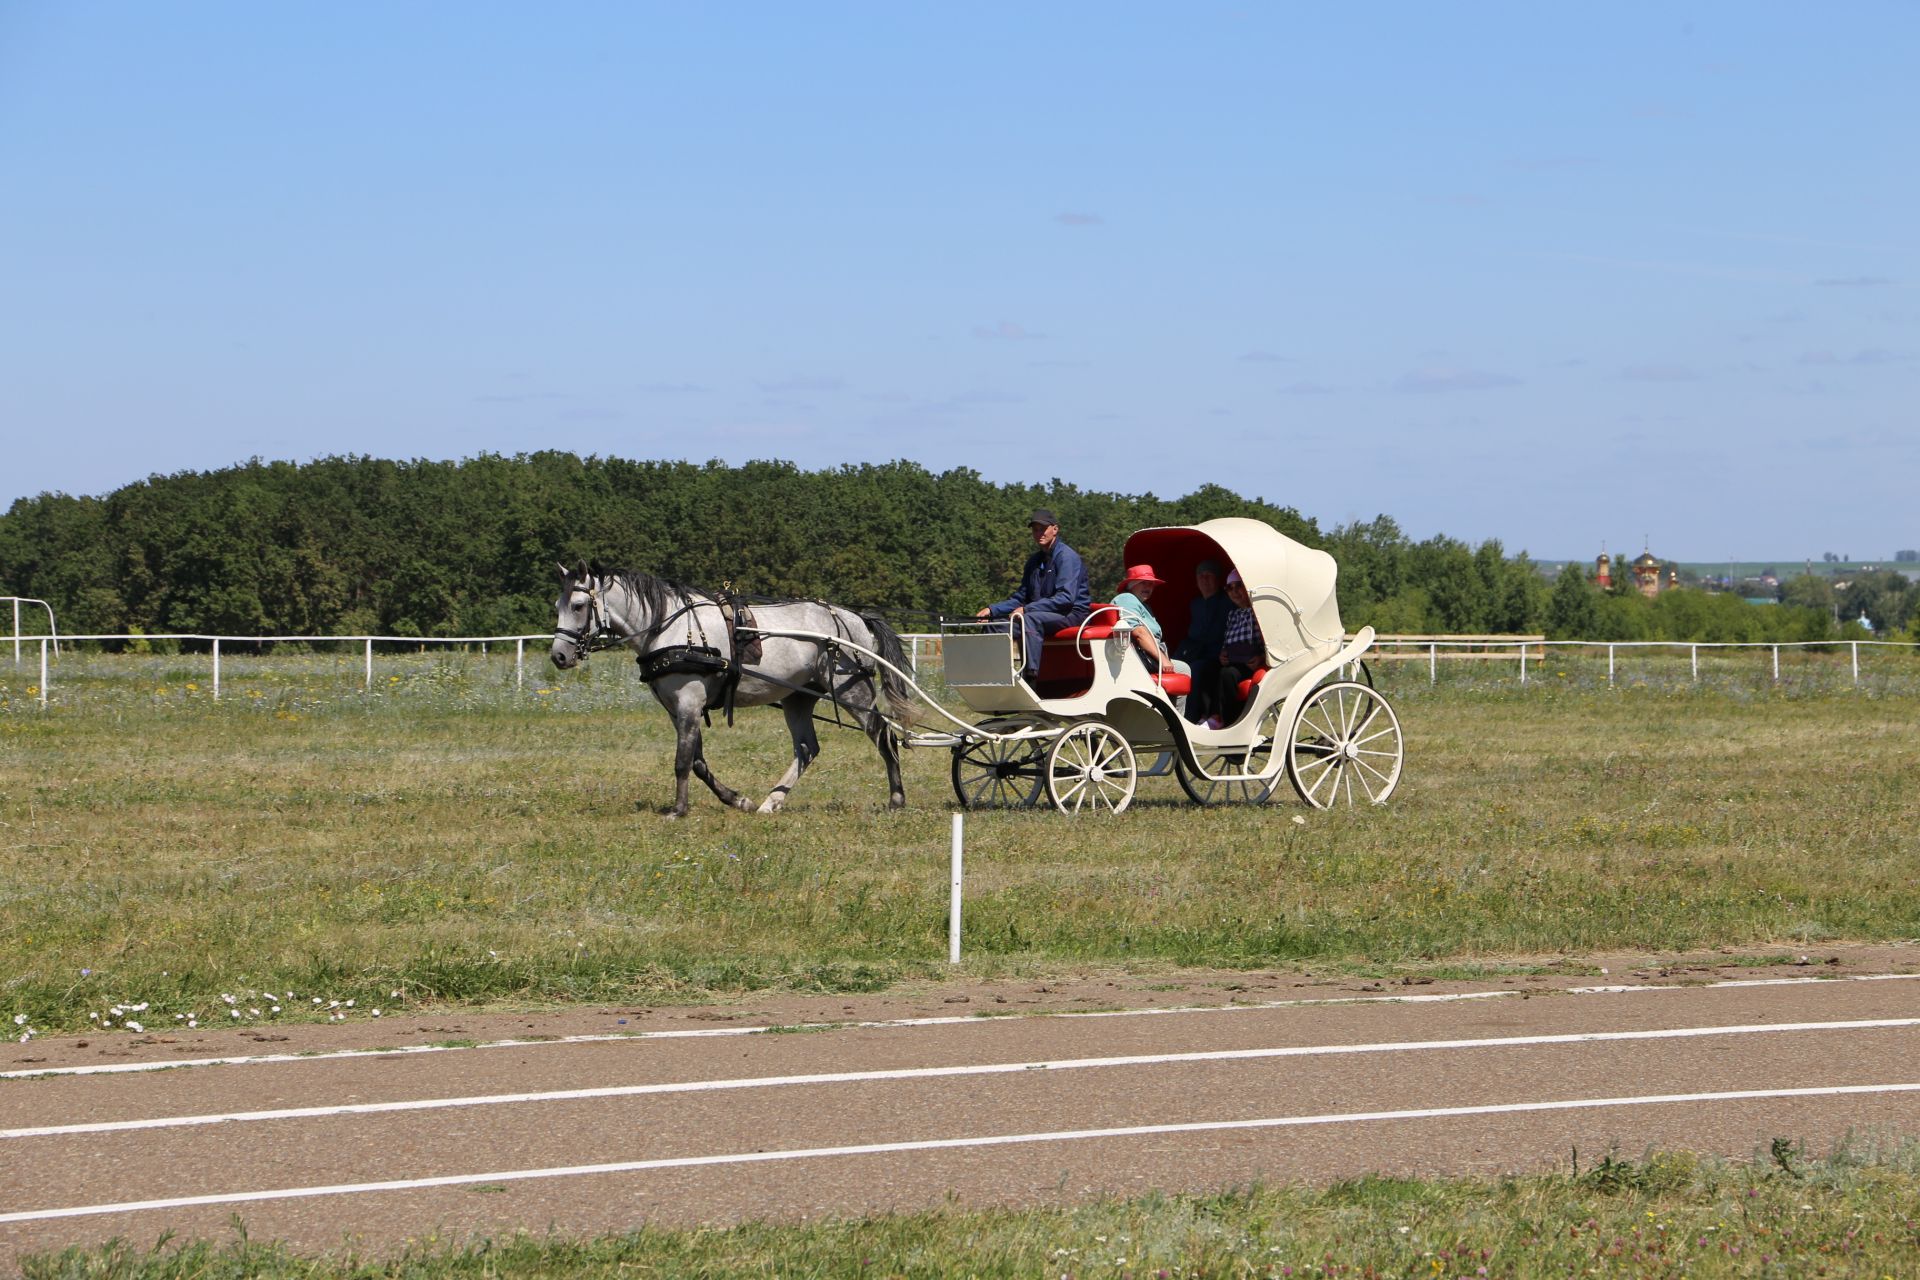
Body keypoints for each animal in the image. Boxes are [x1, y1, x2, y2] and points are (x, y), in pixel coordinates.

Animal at [552, 564, 917, 821]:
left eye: (579, 605)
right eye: (558, 604)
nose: (559, 656)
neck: (670, 627)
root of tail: (856, 617)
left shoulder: (689, 702)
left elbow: (683, 761)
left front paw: (678, 810)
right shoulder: (677, 709)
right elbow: (698, 762)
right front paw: (738, 800)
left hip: (853, 692)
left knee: (883, 736)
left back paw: (897, 800)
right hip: (798, 697)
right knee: (806, 749)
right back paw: (771, 802)